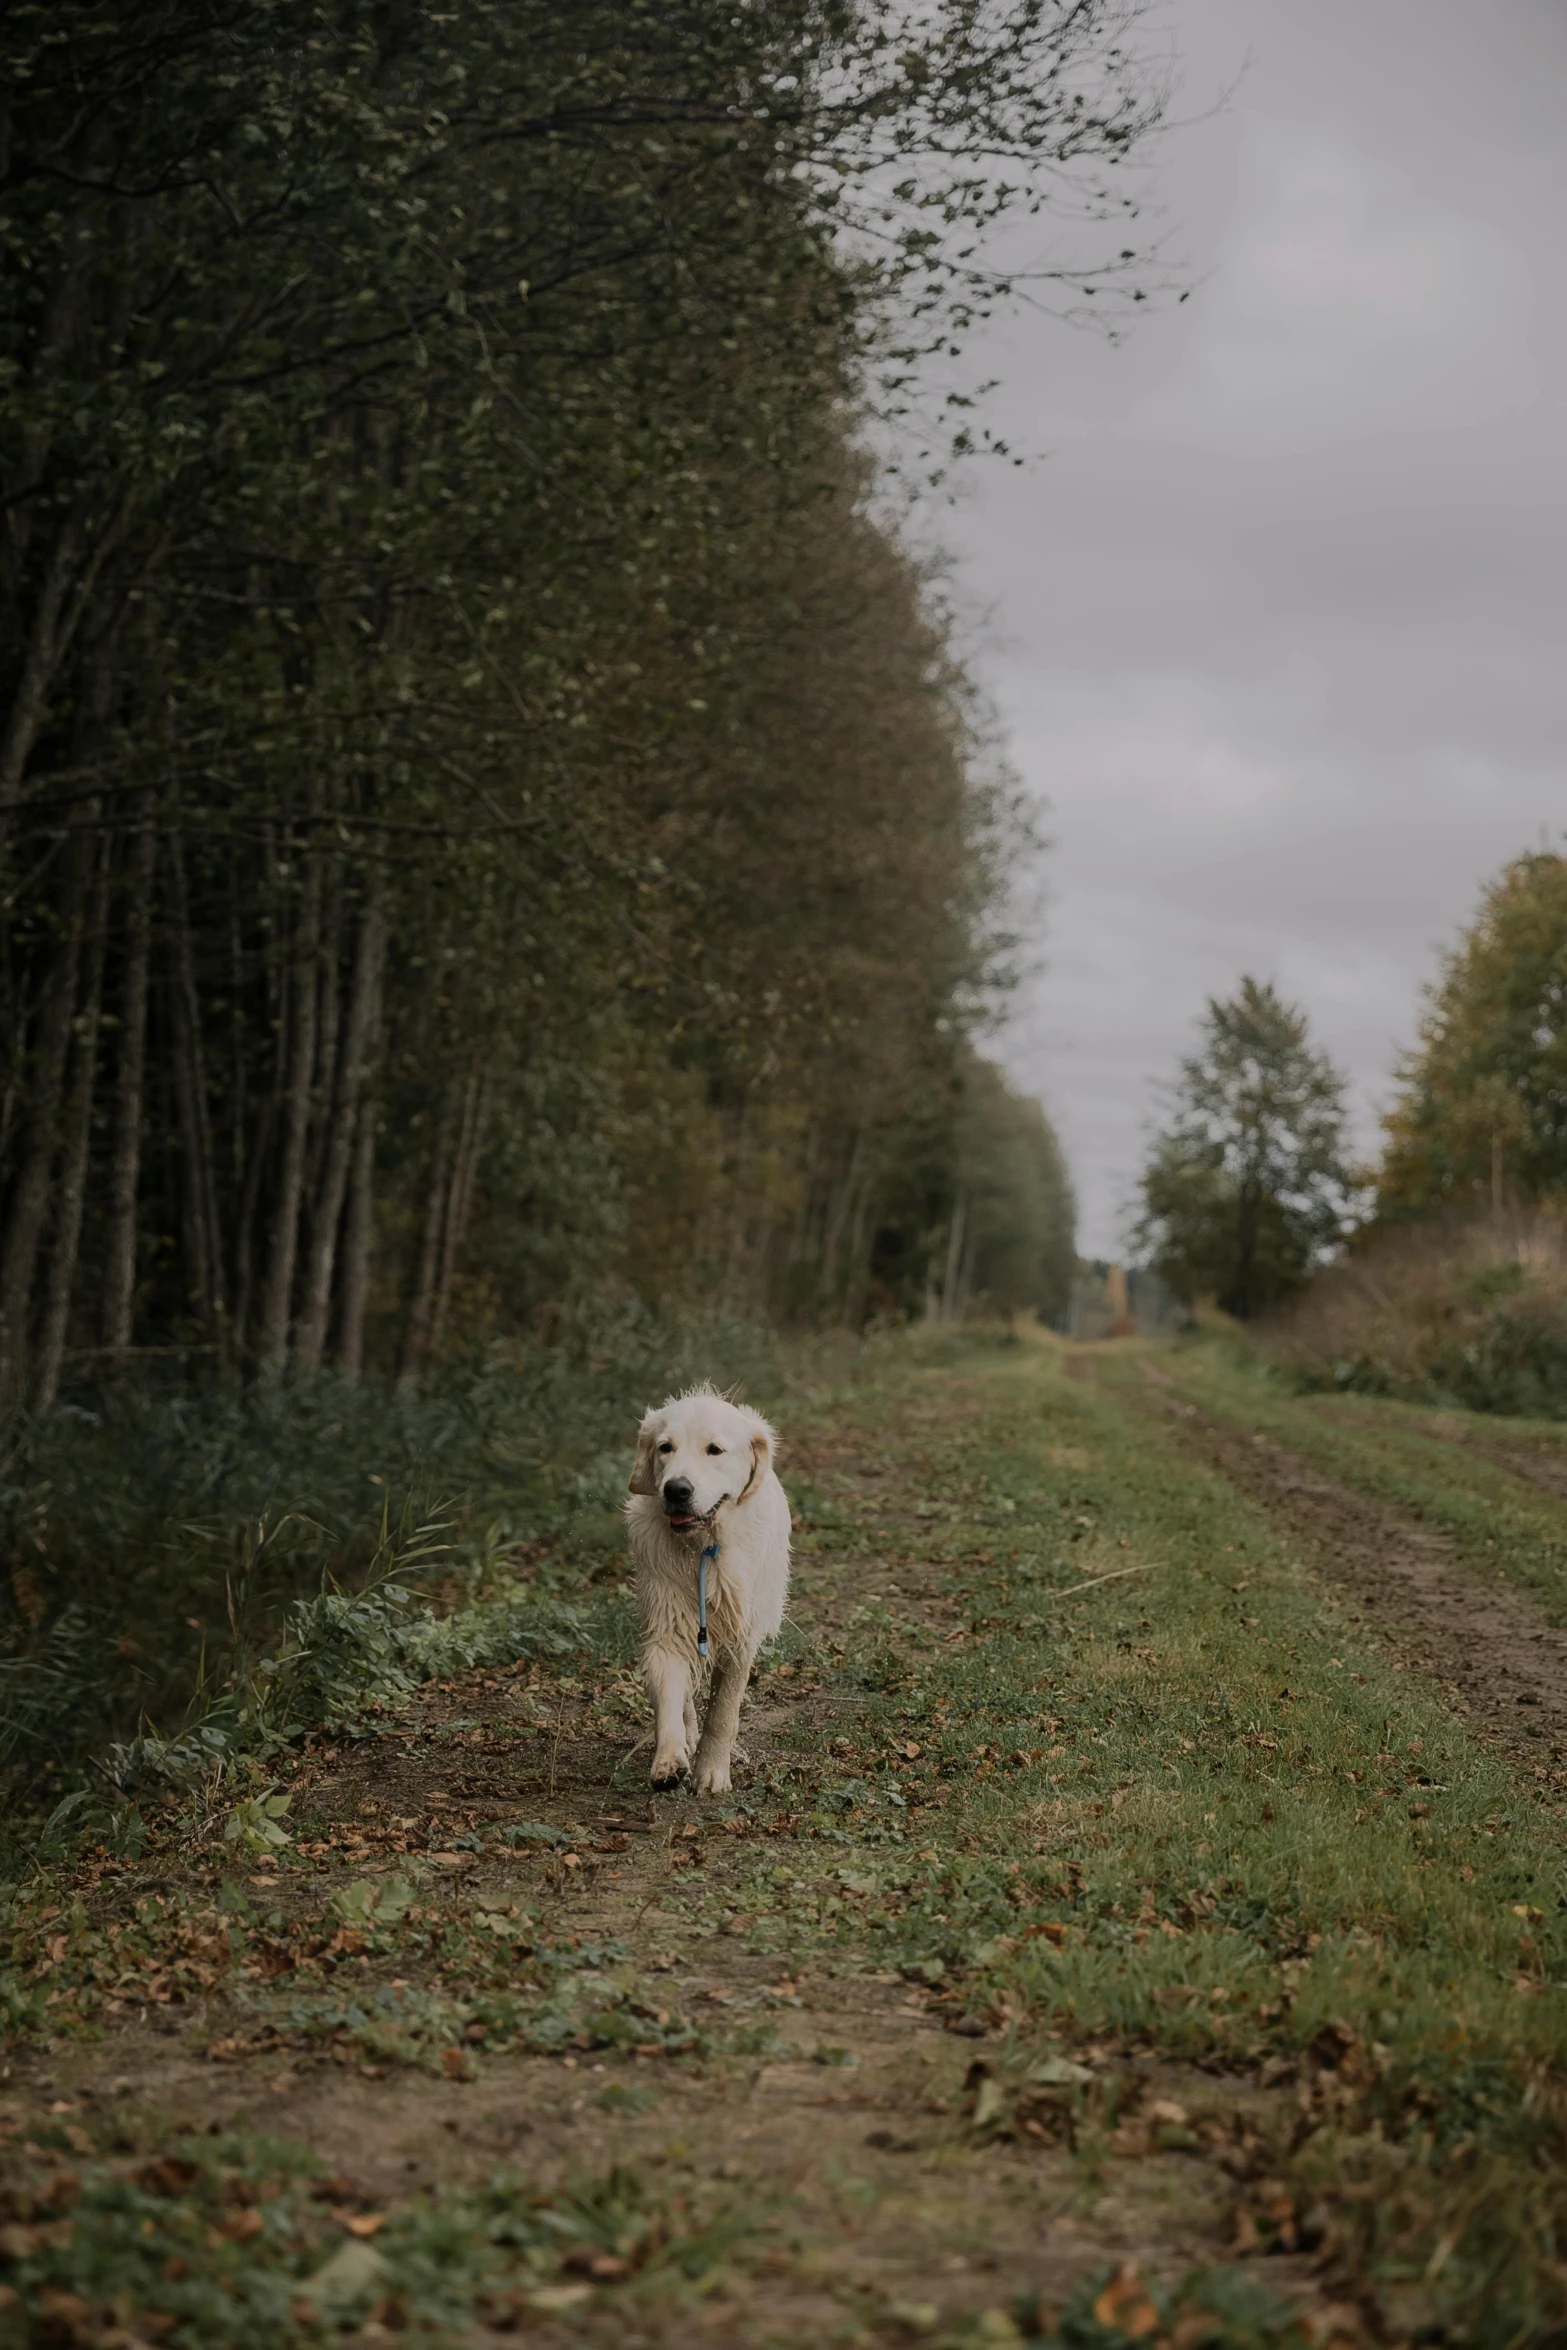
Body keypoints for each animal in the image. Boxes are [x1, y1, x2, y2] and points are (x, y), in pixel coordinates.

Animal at [624, 1381, 789, 1785]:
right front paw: (669, 1758)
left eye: (714, 1449)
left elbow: (723, 1712)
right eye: (665, 1447)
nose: (676, 1490)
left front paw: (712, 1772)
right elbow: (670, 1696)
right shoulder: (668, 1623)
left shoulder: (741, 1635)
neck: (704, 1546)